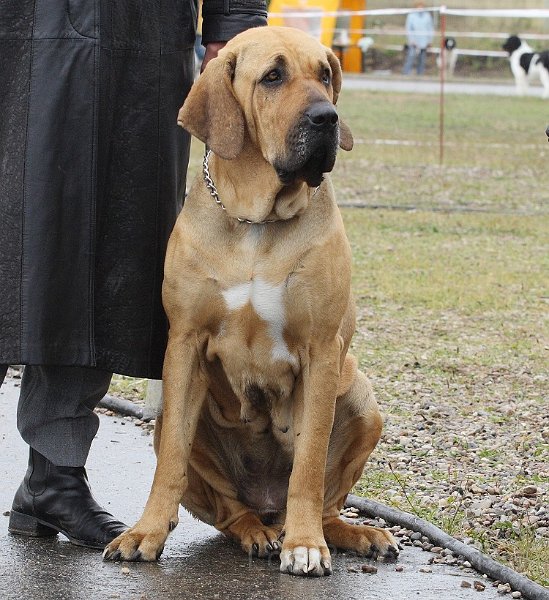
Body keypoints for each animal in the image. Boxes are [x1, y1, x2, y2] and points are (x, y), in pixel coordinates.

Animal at [103, 27, 396, 576]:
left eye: (325, 73)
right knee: (226, 511)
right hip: (175, 422)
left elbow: (308, 464)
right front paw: (146, 533)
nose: (327, 118)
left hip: (363, 401)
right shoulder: (185, 344)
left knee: (326, 503)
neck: (257, 221)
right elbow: (170, 463)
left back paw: (348, 533)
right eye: (273, 76)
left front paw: (305, 545)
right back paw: (253, 533)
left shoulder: (322, 351)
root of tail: (267, 506)